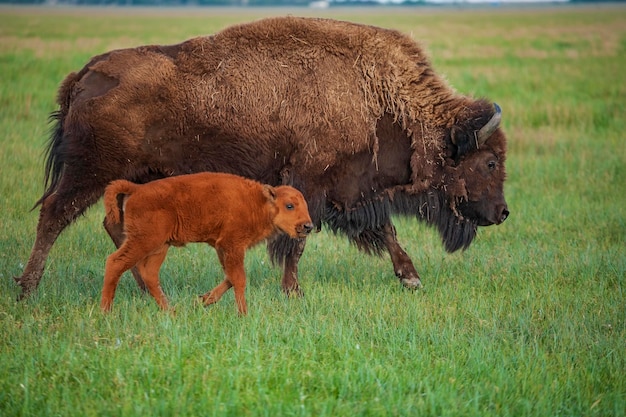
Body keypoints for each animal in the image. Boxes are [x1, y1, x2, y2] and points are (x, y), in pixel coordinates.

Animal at [14, 15, 508, 296]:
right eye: (489, 162)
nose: (503, 213)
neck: (380, 96)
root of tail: (84, 74)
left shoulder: (353, 193)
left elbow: (384, 230)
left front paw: (410, 278)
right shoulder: (313, 185)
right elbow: (299, 238)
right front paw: (292, 291)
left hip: (135, 177)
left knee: (112, 224)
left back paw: (140, 285)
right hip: (90, 172)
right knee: (55, 215)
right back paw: (28, 289)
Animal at [101, 171, 312, 314]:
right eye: (289, 205)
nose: (307, 226)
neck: (258, 202)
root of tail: (137, 189)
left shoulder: (222, 248)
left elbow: (230, 276)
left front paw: (201, 301)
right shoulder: (231, 246)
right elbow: (239, 278)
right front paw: (243, 313)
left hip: (160, 247)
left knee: (150, 274)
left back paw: (171, 311)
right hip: (143, 241)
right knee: (116, 262)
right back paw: (106, 311)